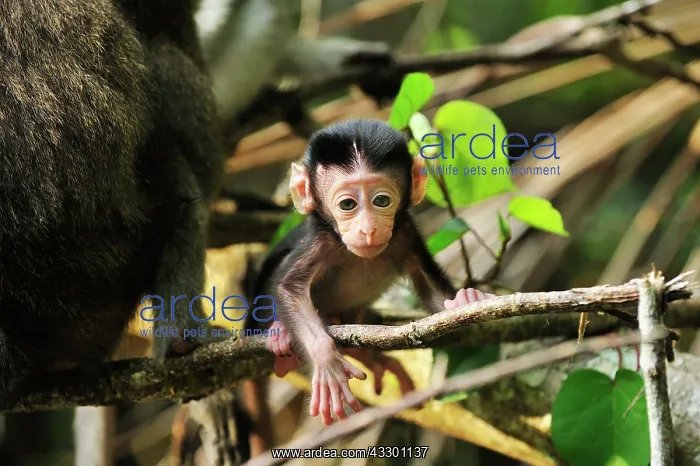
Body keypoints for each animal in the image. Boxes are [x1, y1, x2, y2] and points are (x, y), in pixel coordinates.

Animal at [242, 119, 496, 441]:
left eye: (381, 201)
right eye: (348, 205)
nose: (368, 229)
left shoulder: (406, 234)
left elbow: (432, 293)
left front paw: (464, 300)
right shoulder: (321, 241)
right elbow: (289, 288)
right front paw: (325, 359)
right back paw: (281, 332)